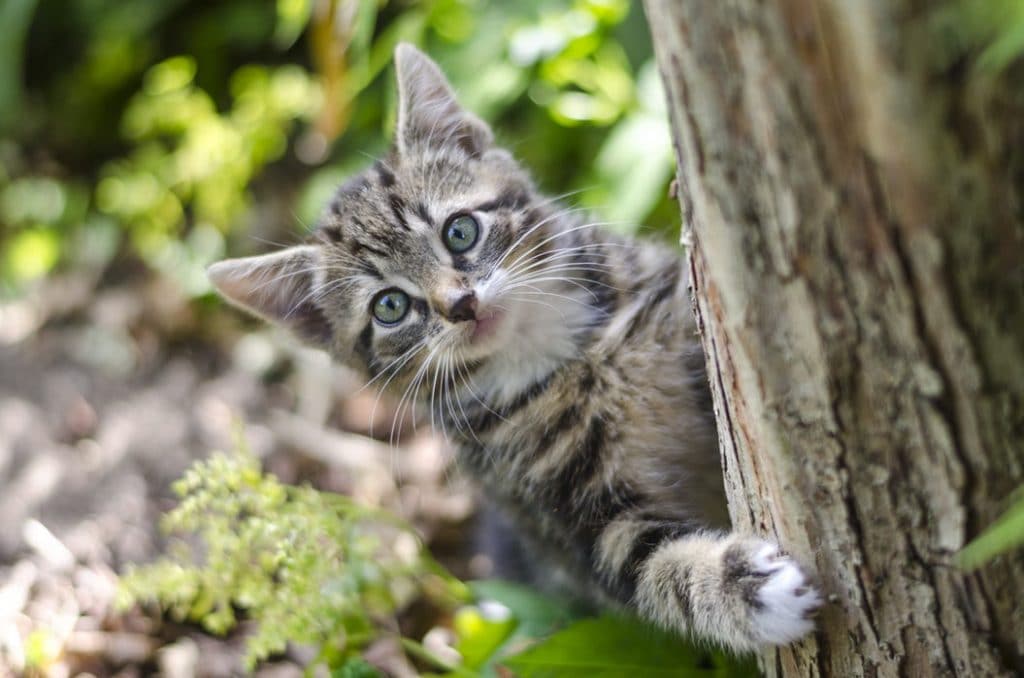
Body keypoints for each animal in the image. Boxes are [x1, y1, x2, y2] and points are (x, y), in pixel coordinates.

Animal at [207, 42, 823, 655]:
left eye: (459, 231)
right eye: (390, 306)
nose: (460, 304)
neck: (562, 357)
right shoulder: (567, 519)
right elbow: (653, 570)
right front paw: (745, 588)